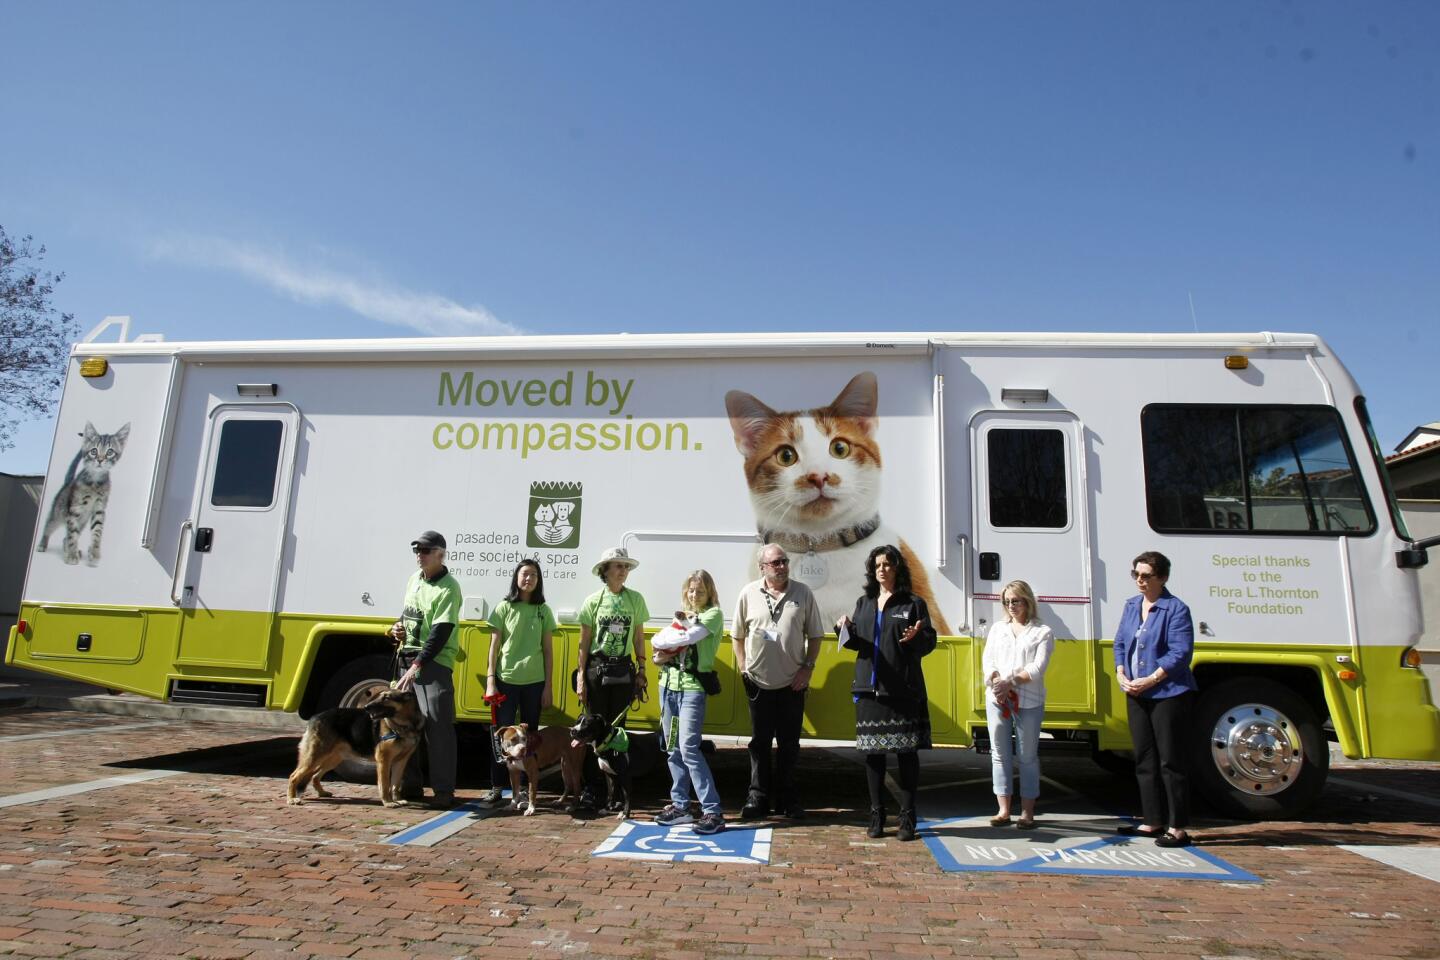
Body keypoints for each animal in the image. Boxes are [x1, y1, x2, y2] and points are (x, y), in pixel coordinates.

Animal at [285, 687, 420, 805]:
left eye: (386, 697)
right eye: (380, 696)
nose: (366, 707)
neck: (403, 726)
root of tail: (315, 717)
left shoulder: (401, 761)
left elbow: (395, 784)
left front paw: (397, 800)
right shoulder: (383, 761)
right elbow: (385, 784)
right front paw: (388, 802)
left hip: (333, 759)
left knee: (314, 776)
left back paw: (322, 793)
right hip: (314, 757)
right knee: (293, 776)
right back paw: (291, 799)